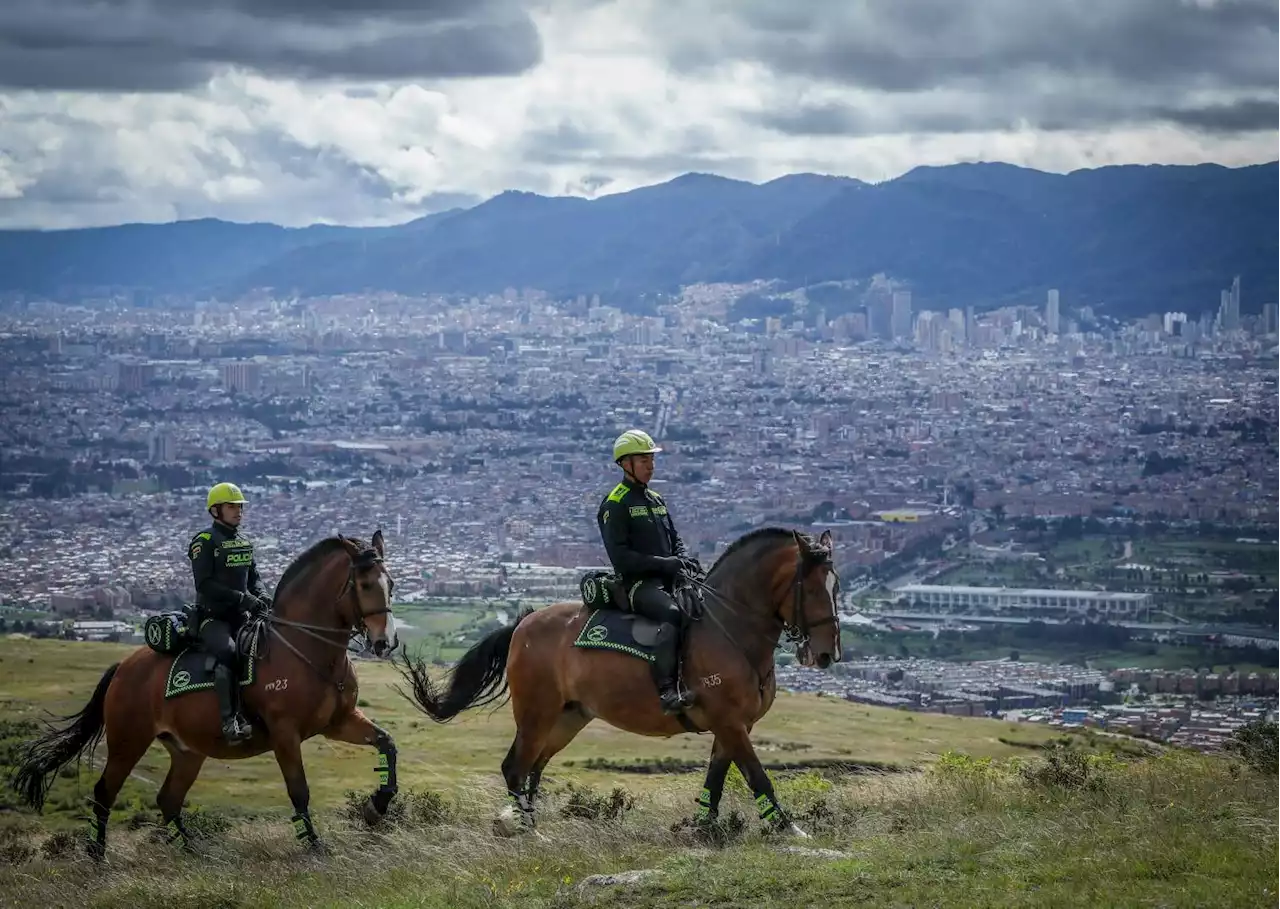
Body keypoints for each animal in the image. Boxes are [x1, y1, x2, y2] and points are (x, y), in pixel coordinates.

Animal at [11, 530, 399, 860]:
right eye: (364, 584)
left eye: (391, 584)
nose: (385, 642)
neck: (307, 648)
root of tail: (124, 667)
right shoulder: (285, 734)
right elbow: (298, 789)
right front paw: (314, 845)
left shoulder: (338, 722)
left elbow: (387, 744)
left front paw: (375, 808)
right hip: (128, 741)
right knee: (105, 791)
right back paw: (96, 855)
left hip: (187, 752)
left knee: (168, 799)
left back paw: (194, 851)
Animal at [399, 527, 839, 839]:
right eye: (814, 588)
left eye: (836, 586)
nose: (826, 654)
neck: (730, 629)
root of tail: (523, 623)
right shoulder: (729, 722)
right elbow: (756, 774)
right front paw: (789, 829)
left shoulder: (731, 726)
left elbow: (716, 778)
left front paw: (703, 829)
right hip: (536, 714)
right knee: (515, 767)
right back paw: (528, 832)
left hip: (567, 719)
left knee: (533, 767)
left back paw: (529, 824)